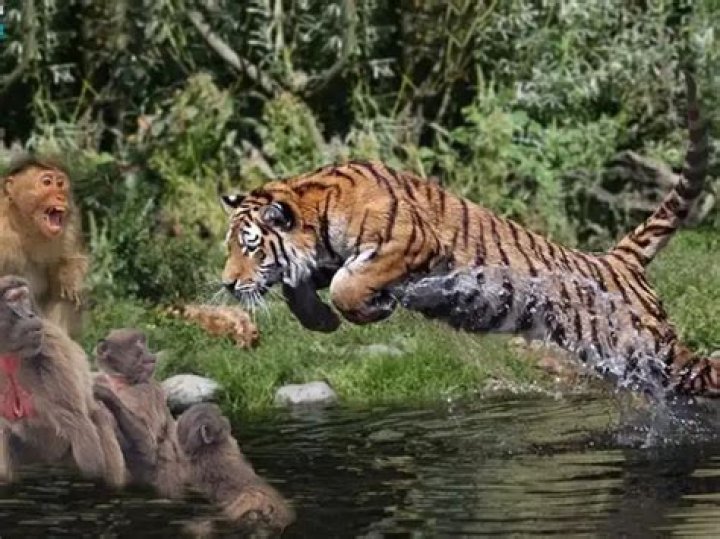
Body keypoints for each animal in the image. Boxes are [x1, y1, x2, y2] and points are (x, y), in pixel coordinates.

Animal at [0, 153, 89, 337]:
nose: (61, 196)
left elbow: (72, 259)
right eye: (47, 182)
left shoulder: (70, 222)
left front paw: (68, 277)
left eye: (60, 184)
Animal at [0, 275, 126, 487]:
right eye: (14, 299)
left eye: (24, 297)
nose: (30, 315)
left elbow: (78, 426)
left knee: (96, 416)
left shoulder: (50, 346)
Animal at [92, 328, 187, 499]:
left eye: (143, 341)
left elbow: (149, 448)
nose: (149, 352)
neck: (120, 381)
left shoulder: (145, 391)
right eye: (138, 343)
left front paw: (106, 394)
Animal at [220, 72, 719, 397]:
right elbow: (298, 287)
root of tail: (615, 259)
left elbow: (347, 285)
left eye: (250, 245)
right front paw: (321, 321)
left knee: (705, 370)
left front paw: (368, 310)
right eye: (231, 247)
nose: (226, 283)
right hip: (629, 360)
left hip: (650, 347)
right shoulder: (322, 260)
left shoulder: (409, 244)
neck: (317, 211)